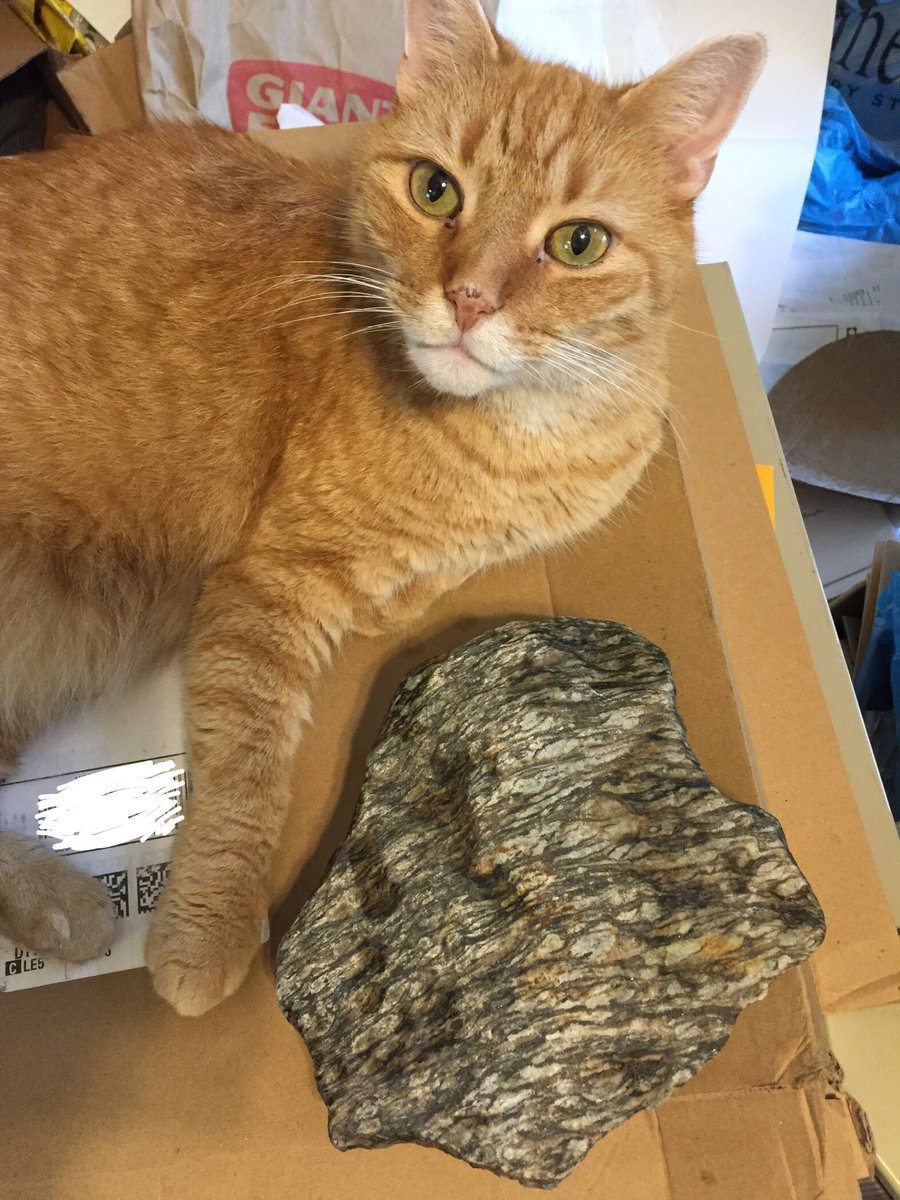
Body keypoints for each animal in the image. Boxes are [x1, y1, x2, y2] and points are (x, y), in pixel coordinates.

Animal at [0, 0, 764, 1015]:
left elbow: (414, 583)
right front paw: (205, 929)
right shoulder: (265, 590)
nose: (469, 298)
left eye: (579, 243)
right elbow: (244, 776)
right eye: (436, 192)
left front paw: (395, 596)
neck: (515, 450)